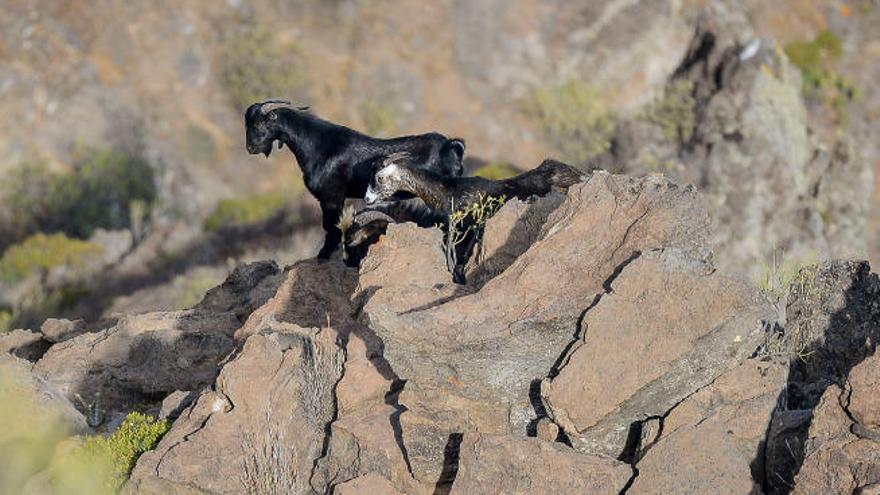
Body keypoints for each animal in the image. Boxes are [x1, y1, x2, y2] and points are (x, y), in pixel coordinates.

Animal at [246, 99, 468, 258]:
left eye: (259, 122)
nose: (251, 148)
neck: (317, 146)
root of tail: (450, 146)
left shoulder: (331, 198)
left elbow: (330, 227)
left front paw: (323, 255)